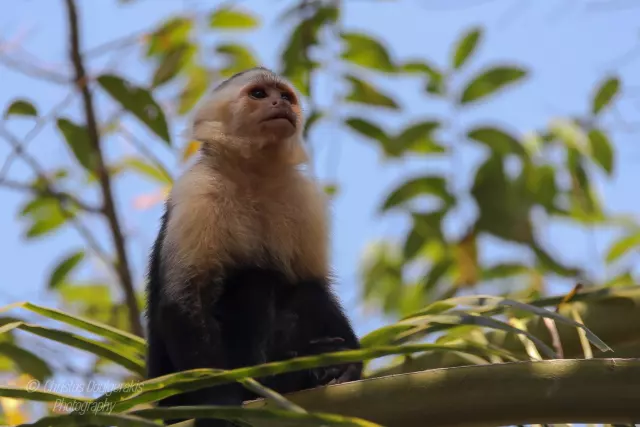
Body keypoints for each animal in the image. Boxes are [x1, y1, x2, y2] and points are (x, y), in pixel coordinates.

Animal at [145, 67, 362, 427]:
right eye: (259, 94)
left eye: (285, 96)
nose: (280, 104)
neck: (254, 175)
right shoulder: (198, 190)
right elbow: (184, 300)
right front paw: (219, 403)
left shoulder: (304, 197)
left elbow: (315, 283)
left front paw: (351, 362)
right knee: (255, 279)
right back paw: (270, 380)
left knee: (303, 291)